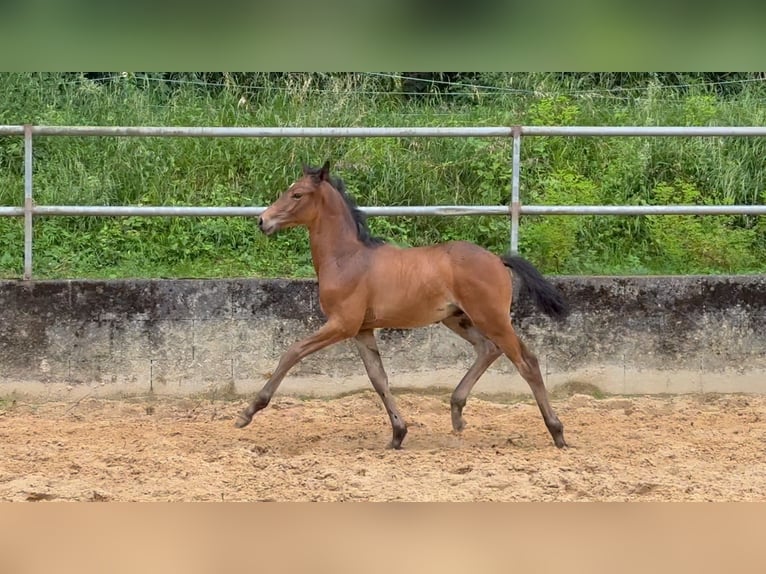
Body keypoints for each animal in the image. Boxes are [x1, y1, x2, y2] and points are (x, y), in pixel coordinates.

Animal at [238, 161, 568, 450]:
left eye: (297, 194)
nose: (262, 221)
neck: (347, 259)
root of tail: (498, 260)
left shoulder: (341, 324)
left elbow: (292, 352)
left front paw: (248, 412)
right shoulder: (362, 330)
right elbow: (379, 379)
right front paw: (398, 433)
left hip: (492, 318)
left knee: (527, 362)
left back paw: (557, 432)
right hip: (458, 318)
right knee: (489, 349)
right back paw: (457, 412)